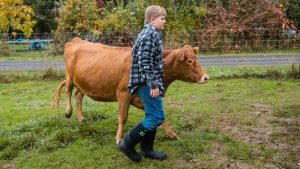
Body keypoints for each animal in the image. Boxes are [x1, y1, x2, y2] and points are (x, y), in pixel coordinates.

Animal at [53, 37, 209, 143]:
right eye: (190, 61)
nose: (206, 77)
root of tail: (76, 40)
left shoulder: (144, 98)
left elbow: (160, 115)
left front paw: (172, 134)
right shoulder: (123, 94)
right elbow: (123, 117)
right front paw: (119, 138)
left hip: (84, 83)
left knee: (78, 96)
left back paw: (81, 118)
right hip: (70, 77)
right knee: (68, 91)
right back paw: (68, 112)